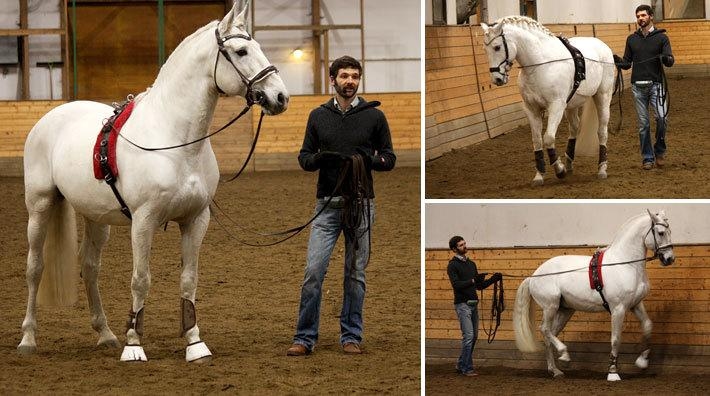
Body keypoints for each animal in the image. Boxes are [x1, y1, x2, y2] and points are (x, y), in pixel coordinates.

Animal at [18, 0, 290, 364]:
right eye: (242, 50)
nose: (280, 97)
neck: (174, 140)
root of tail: (49, 119)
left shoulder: (196, 219)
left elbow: (189, 280)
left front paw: (194, 343)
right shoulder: (143, 220)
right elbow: (140, 280)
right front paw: (134, 344)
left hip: (96, 217)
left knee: (90, 267)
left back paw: (106, 334)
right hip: (40, 206)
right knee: (35, 268)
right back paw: (28, 339)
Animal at [482, 16, 620, 186]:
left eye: (497, 47)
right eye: (485, 49)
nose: (497, 79)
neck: (539, 65)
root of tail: (604, 47)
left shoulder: (556, 106)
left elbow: (548, 138)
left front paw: (560, 170)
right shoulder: (531, 109)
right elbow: (537, 140)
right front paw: (539, 175)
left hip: (603, 96)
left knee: (602, 131)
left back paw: (601, 168)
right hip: (572, 105)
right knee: (574, 128)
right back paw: (569, 163)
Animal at [516, 210, 676, 380]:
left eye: (670, 232)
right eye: (661, 232)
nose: (670, 259)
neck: (625, 264)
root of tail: (534, 275)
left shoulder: (635, 304)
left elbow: (647, 325)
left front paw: (642, 361)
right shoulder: (618, 309)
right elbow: (615, 339)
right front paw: (613, 373)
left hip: (564, 310)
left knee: (549, 335)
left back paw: (555, 370)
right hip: (550, 307)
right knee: (545, 329)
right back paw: (564, 355)